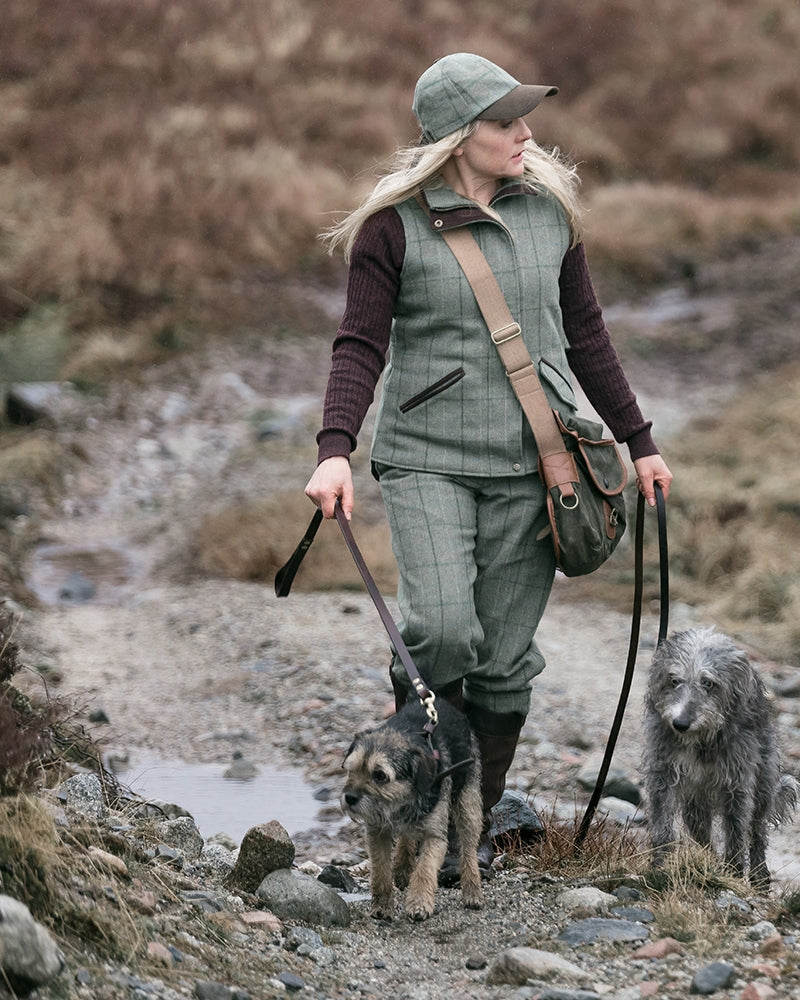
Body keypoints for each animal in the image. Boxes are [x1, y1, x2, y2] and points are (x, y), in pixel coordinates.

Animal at [342, 696, 484, 920]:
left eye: (380, 775)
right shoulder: (377, 832)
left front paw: (419, 903)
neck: (400, 802)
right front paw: (382, 906)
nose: (349, 797)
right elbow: (380, 870)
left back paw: (472, 891)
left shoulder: (435, 836)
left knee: (469, 849)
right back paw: (402, 867)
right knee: (407, 836)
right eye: (351, 769)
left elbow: (425, 868)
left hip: (468, 804)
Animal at [648, 628, 796, 888]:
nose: (680, 723)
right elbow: (662, 821)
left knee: (757, 829)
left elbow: (736, 829)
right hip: (695, 806)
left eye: (708, 683)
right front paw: (660, 865)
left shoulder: (736, 783)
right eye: (674, 680)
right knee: (703, 834)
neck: (700, 739)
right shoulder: (663, 774)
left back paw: (758, 874)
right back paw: (708, 862)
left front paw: (733, 873)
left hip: (763, 784)